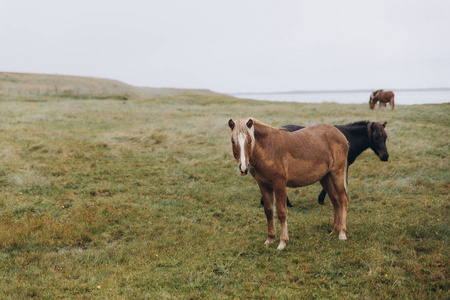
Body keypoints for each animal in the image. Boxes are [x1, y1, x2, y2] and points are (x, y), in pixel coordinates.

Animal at [230, 118, 350, 250]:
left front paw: (283, 243)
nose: (243, 168)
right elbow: (269, 211)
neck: (269, 148)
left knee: (343, 200)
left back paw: (342, 234)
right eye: (233, 141)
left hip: (337, 173)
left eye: (250, 141)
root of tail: (340, 134)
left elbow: (282, 213)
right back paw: (334, 231)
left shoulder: (280, 184)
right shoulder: (264, 186)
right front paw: (270, 239)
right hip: (325, 178)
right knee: (335, 201)